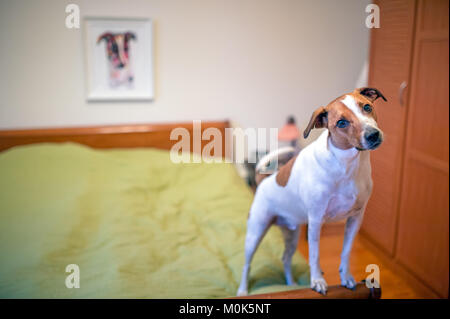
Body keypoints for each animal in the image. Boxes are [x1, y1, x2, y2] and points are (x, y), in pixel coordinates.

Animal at [236, 86, 386, 296]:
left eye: (367, 107)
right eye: (341, 122)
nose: (373, 135)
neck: (346, 164)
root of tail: (264, 180)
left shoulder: (355, 218)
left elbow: (346, 252)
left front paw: (346, 276)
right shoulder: (315, 221)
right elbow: (314, 255)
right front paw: (317, 281)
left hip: (291, 235)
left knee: (285, 259)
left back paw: (291, 285)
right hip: (255, 232)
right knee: (246, 265)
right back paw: (242, 290)